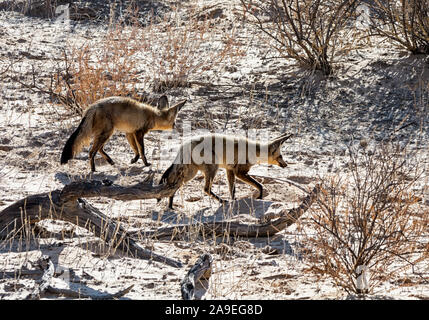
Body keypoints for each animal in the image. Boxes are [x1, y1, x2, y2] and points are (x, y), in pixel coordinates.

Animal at [157, 132, 294, 209]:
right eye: (281, 156)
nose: (286, 165)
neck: (255, 151)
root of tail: (184, 144)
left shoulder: (230, 170)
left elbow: (232, 190)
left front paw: (234, 202)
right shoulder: (240, 172)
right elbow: (259, 185)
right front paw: (260, 196)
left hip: (191, 173)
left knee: (174, 184)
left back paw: (170, 204)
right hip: (212, 168)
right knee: (205, 189)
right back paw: (222, 201)